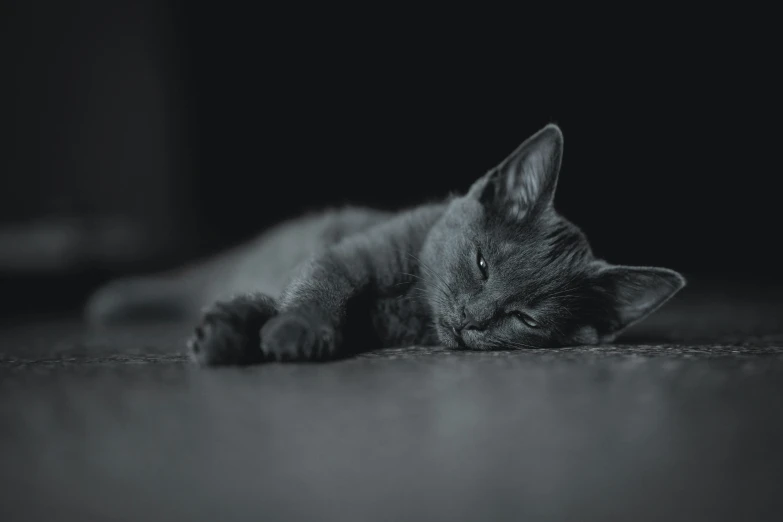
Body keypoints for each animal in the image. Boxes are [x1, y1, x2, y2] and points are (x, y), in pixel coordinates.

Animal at [86, 124, 688, 364]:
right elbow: (319, 286)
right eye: (481, 263)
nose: (471, 319)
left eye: (525, 318)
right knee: (186, 280)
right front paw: (294, 328)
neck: (412, 305)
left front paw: (239, 329)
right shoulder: (345, 254)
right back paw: (114, 299)